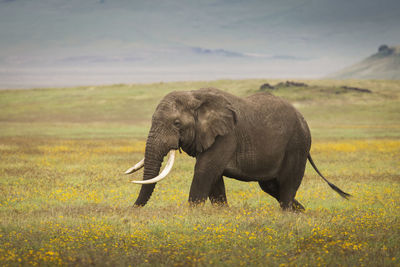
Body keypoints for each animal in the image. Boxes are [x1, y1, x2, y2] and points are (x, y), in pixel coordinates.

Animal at [126, 88, 350, 211]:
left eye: (177, 123)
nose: (132, 209)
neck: (195, 95)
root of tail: (303, 120)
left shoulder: (227, 136)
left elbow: (205, 171)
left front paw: (192, 213)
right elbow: (214, 178)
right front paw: (222, 213)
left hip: (296, 145)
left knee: (286, 186)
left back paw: (289, 213)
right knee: (271, 187)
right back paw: (302, 212)